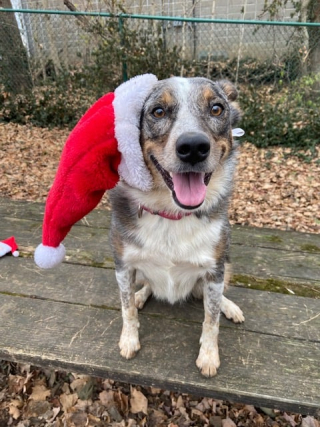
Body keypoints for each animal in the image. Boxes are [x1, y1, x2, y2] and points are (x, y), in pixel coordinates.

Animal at [109, 77, 244, 378]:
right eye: (158, 111)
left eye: (217, 108)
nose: (193, 147)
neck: (172, 214)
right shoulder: (123, 265)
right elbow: (126, 309)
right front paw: (129, 340)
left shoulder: (214, 270)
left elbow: (211, 319)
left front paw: (209, 356)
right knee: (144, 286)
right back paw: (141, 295)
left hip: (227, 264)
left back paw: (230, 307)